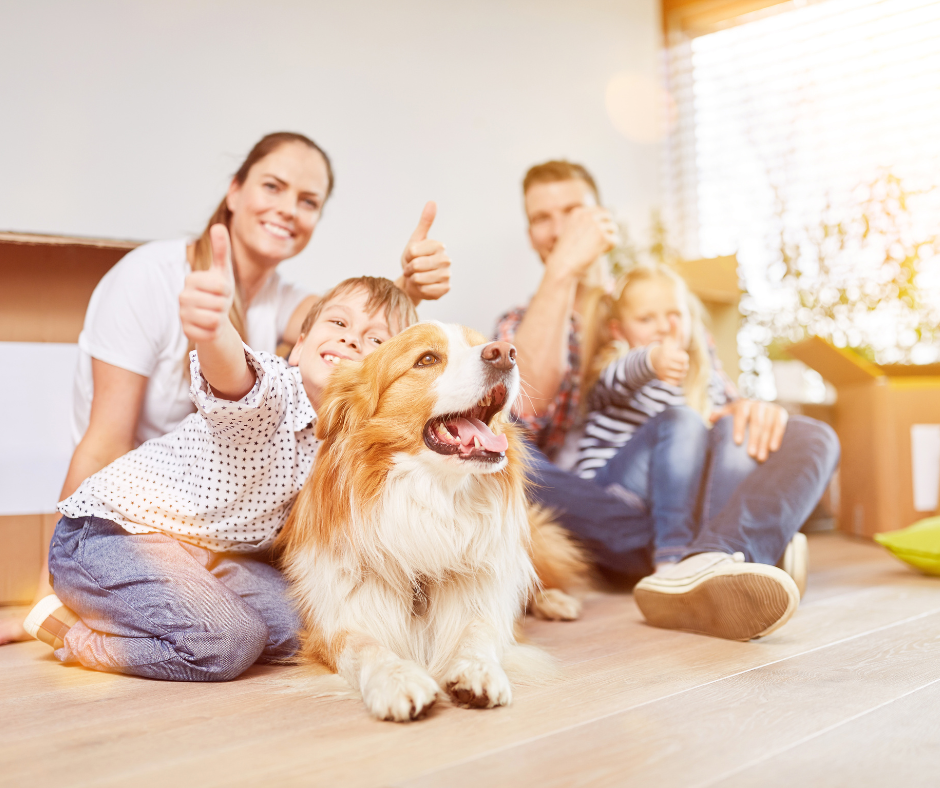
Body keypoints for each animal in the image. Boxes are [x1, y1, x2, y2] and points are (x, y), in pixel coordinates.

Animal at [280, 320, 584, 720]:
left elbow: (479, 632)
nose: (505, 352)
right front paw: (397, 679)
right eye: (426, 359)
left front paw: (477, 669)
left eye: (482, 344)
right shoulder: (333, 624)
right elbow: (365, 647)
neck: (433, 502)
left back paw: (557, 602)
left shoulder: (482, 598)